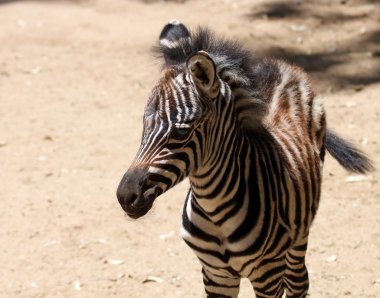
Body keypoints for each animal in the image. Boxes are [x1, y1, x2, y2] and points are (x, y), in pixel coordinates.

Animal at [115, 19, 372, 296]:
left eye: (181, 132)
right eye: (144, 125)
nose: (125, 197)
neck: (214, 209)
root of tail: (282, 65)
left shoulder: (268, 273)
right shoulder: (215, 275)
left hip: (298, 236)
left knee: (299, 281)